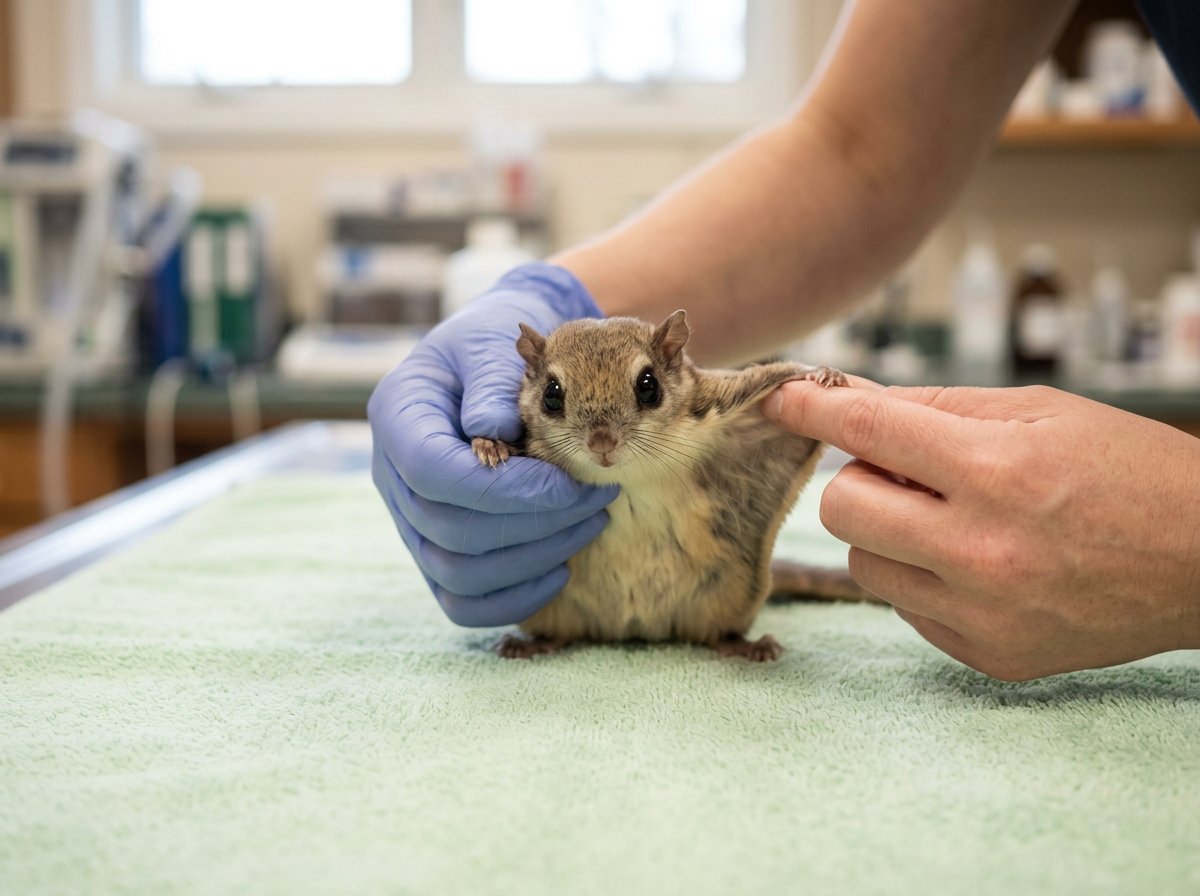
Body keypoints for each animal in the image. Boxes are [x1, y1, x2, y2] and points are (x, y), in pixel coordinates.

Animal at [472, 310, 877, 662]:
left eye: (648, 386)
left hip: (728, 592)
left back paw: (745, 646)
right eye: (551, 394)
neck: (622, 476)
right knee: (560, 634)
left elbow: (778, 375)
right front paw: (488, 446)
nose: (602, 441)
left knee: (716, 635)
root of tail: (634, 629)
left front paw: (821, 374)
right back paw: (532, 644)